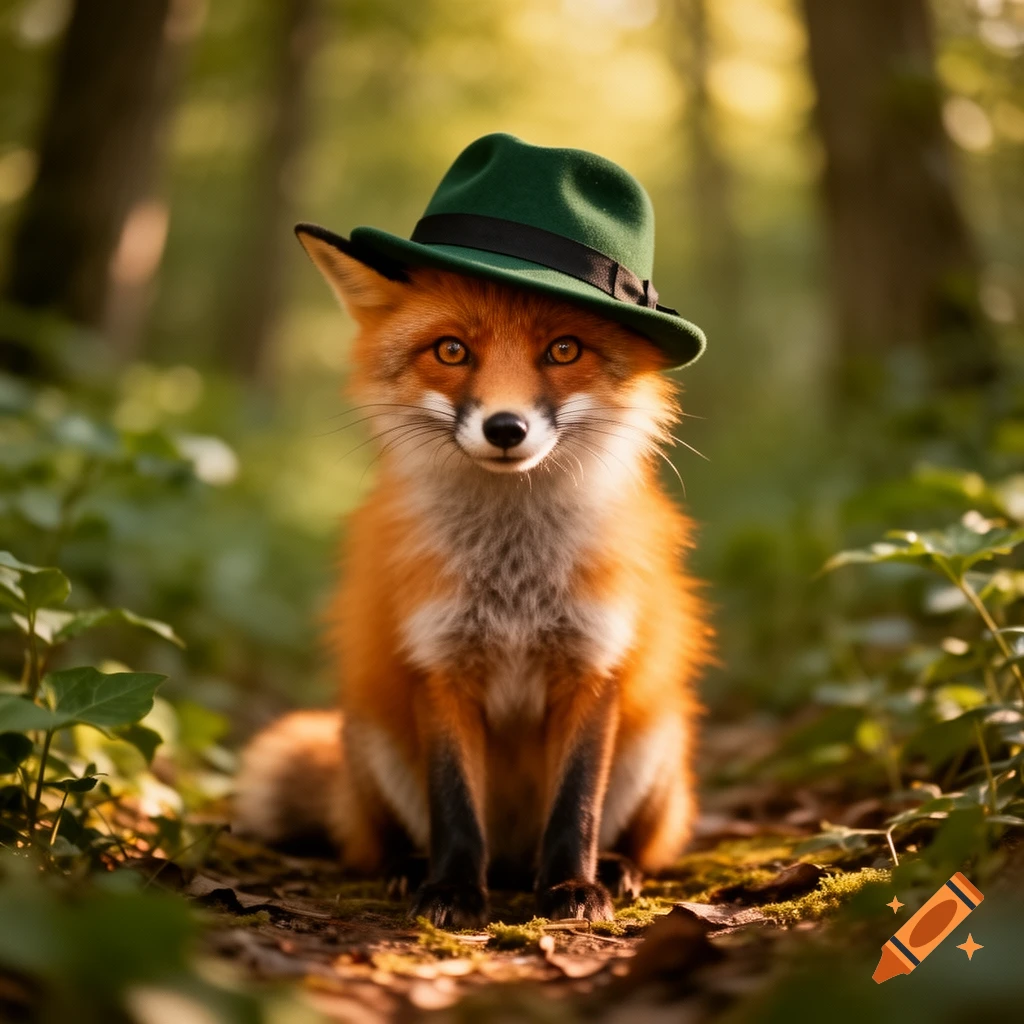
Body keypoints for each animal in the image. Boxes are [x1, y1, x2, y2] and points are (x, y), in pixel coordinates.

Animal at [234, 226, 712, 928]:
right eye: (451, 350)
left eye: (563, 349)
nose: (505, 427)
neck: (512, 579)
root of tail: (512, 860)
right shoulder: (441, 665)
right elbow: (454, 804)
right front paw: (453, 891)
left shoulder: (592, 666)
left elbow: (577, 804)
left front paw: (571, 886)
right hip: (372, 740)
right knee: (381, 844)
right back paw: (411, 870)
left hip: (655, 743)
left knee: (635, 841)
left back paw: (613, 868)